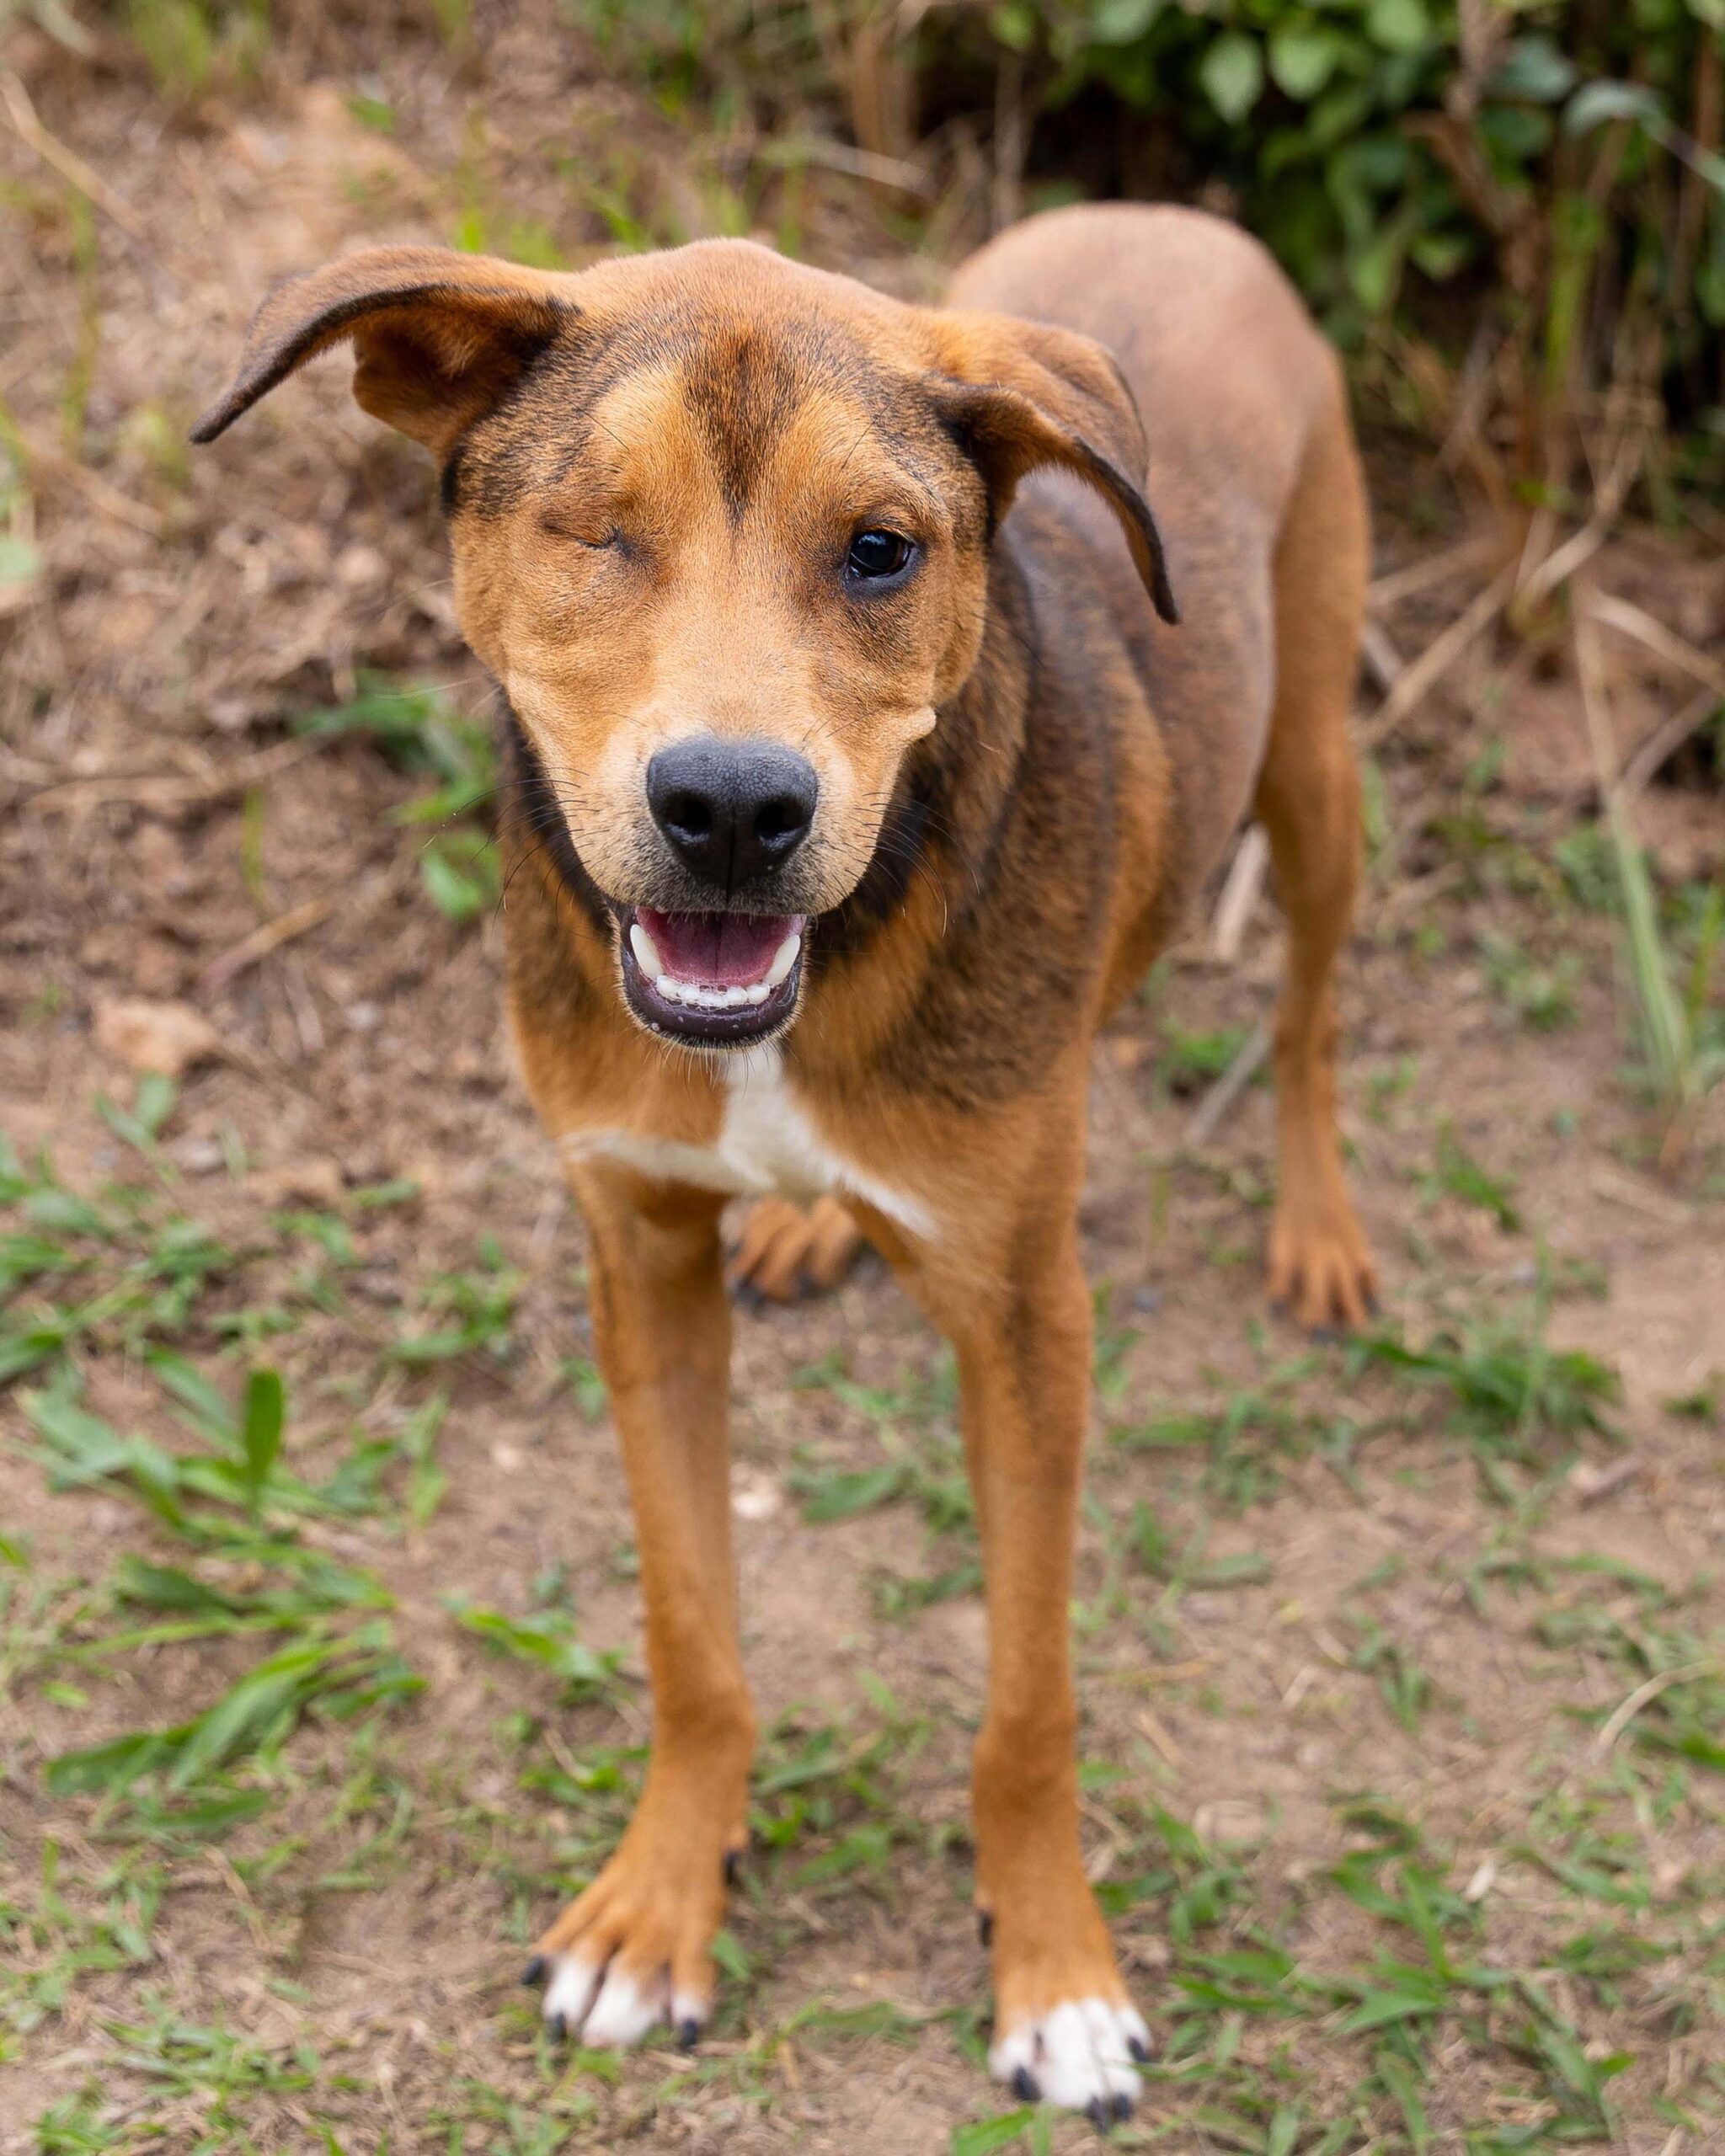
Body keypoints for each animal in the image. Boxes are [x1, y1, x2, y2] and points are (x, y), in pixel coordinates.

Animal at [194, 203, 1376, 2124]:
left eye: (881, 551)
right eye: (594, 525)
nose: (734, 811)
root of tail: (1175, 215)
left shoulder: (1030, 1325)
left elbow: (1027, 1698)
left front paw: (1056, 1972)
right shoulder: (639, 1261)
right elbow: (693, 1640)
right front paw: (657, 1907)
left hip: (1316, 764)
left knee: (1310, 1009)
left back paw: (1320, 1226)